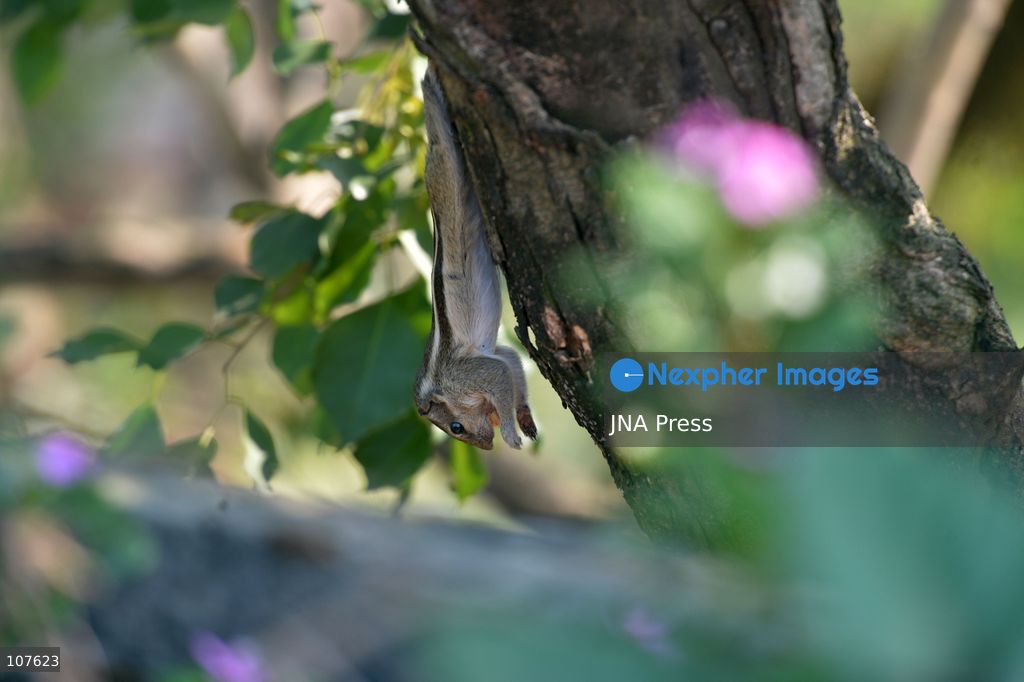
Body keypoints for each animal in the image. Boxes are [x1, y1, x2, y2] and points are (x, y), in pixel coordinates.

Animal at [413, 67, 537, 450]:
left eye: (456, 427)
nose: (487, 445)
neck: (441, 385)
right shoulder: (496, 355)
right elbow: (513, 368)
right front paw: (524, 419)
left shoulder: (474, 373)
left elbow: (501, 379)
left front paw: (510, 432)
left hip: (442, 173)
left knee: (441, 150)